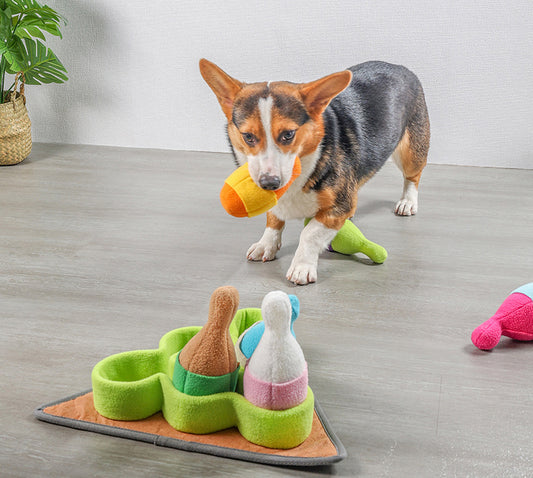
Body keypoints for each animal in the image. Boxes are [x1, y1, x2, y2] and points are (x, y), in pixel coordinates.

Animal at [200, 59, 428, 284]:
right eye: (248, 136)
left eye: (288, 134)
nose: (269, 183)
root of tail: (399, 67)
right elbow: (273, 219)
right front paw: (266, 245)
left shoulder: (338, 207)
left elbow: (310, 233)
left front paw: (302, 267)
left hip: (410, 152)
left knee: (412, 177)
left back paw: (407, 202)